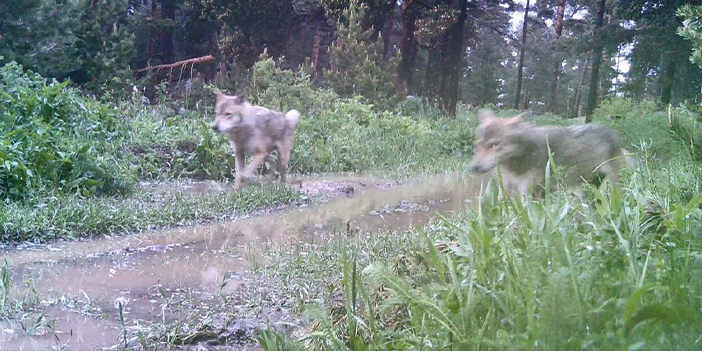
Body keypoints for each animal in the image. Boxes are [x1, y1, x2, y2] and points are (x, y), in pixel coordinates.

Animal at [470, 110, 636, 197]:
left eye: (494, 145)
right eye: (478, 144)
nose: (473, 167)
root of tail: (617, 137)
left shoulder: (530, 192)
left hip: (615, 183)